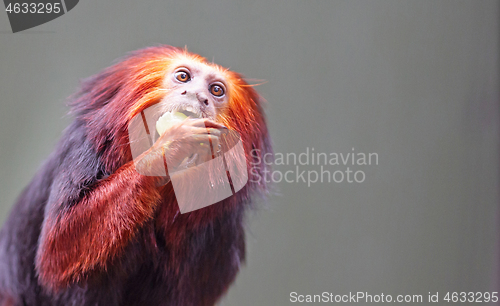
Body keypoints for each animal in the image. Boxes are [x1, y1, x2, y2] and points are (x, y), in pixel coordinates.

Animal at [0, 46, 272, 306]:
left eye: (216, 90)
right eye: (183, 77)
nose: (198, 97)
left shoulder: (221, 236)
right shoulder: (89, 148)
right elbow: (58, 248)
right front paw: (172, 146)